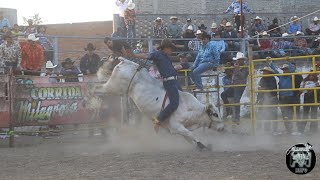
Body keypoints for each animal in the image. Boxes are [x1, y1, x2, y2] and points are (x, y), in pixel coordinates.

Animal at [96, 56, 224, 149]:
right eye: (215, 114)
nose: (223, 128)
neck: (191, 110)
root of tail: (126, 61)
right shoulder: (176, 126)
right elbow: (192, 135)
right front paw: (203, 145)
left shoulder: (180, 129)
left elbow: (189, 138)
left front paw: (201, 146)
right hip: (113, 86)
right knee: (99, 88)